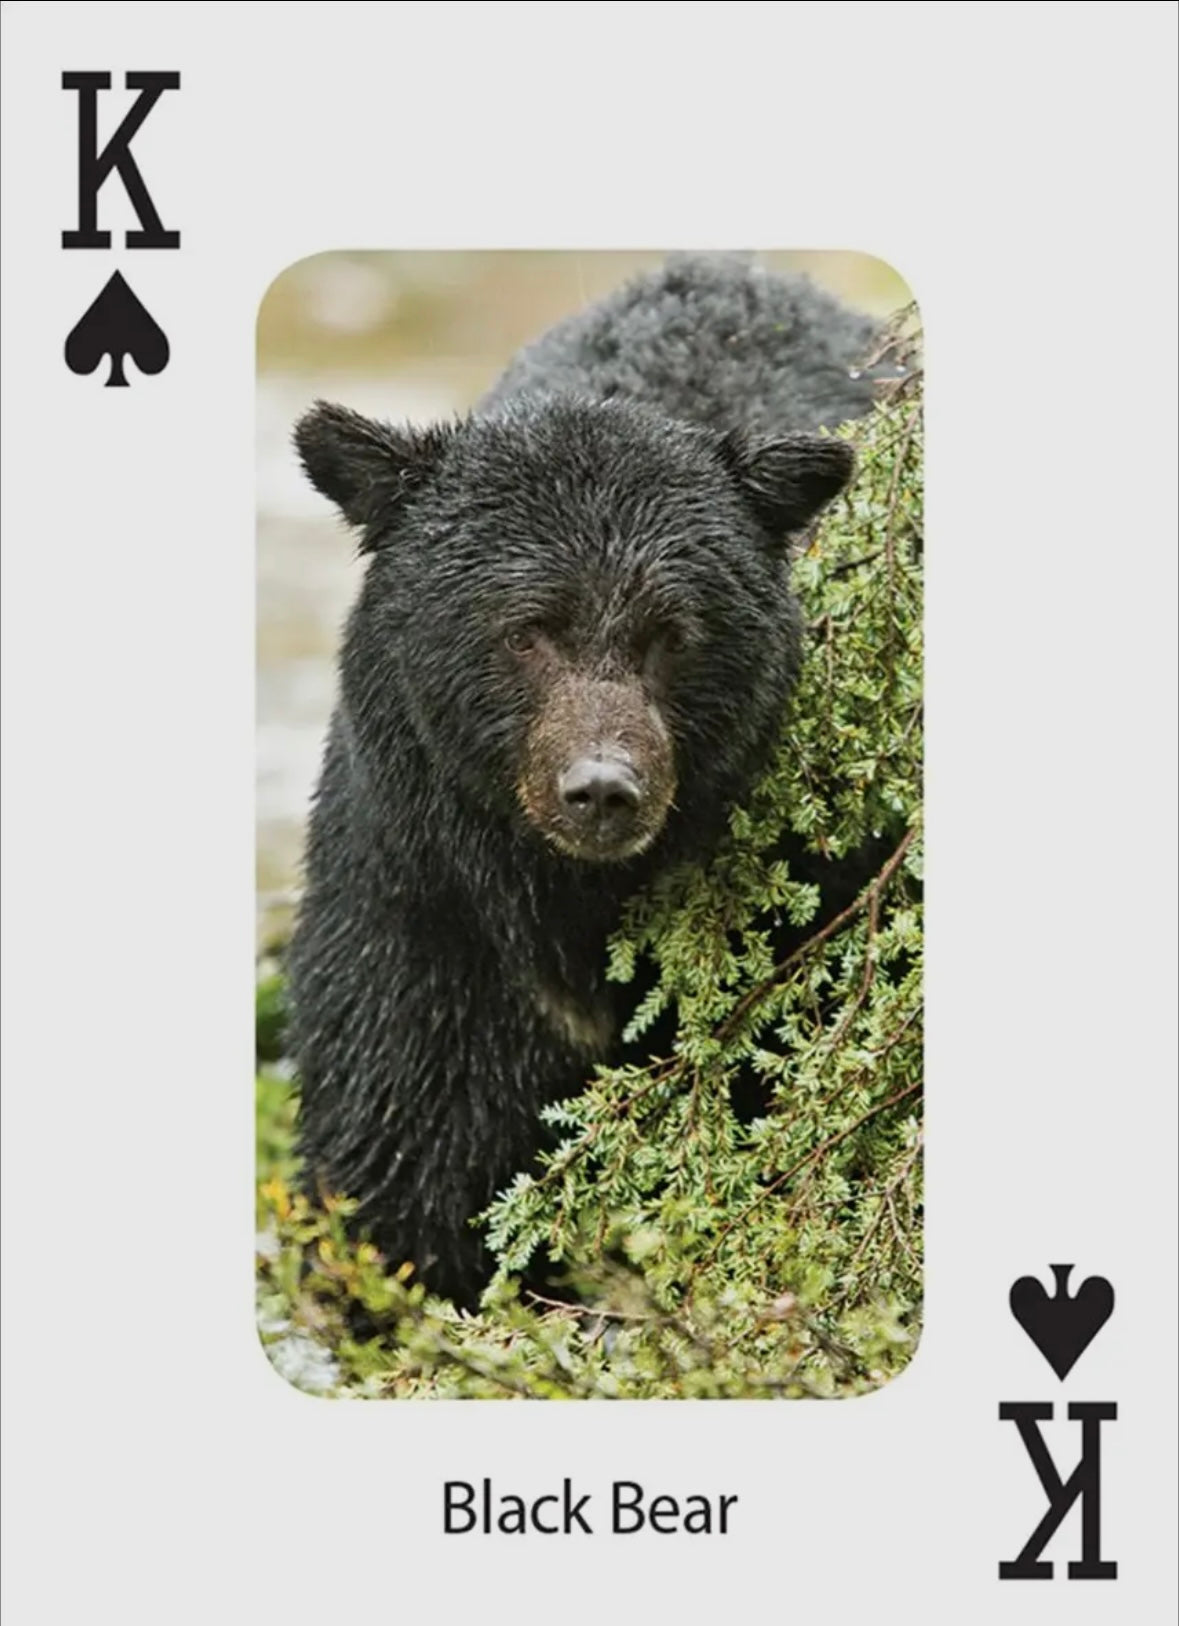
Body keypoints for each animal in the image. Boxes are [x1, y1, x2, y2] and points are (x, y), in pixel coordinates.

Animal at [287, 254, 884, 1310]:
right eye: (526, 630)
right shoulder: (417, 907)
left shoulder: (804, 909)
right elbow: (400, 1151)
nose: (603, 788)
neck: (565, 901)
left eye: (670, 634)